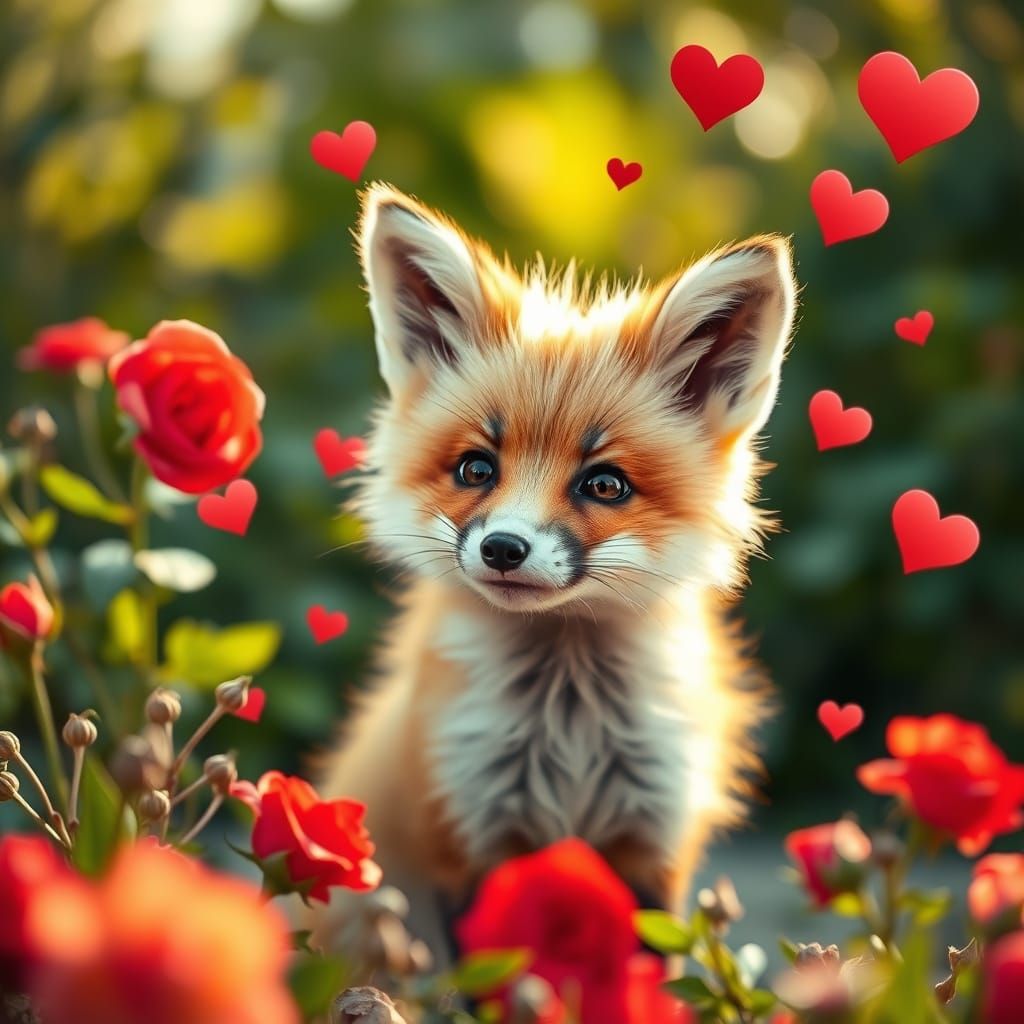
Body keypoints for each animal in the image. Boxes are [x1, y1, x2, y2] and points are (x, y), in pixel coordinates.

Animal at [312, 182, 798, 958]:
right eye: (476, 468)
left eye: (604, 485)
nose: (503, 548)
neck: (568, 725)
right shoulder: (470, 838)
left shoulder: (653, 844)